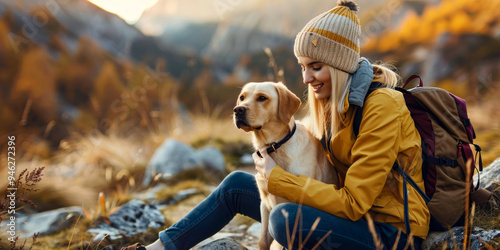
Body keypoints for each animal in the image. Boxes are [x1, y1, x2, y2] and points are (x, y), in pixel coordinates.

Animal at [233, 82, 336, 250]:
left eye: (262, 98)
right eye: (242, 97)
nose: (237, 110)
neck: (274, 147)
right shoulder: (265, 204)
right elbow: (263, 241)